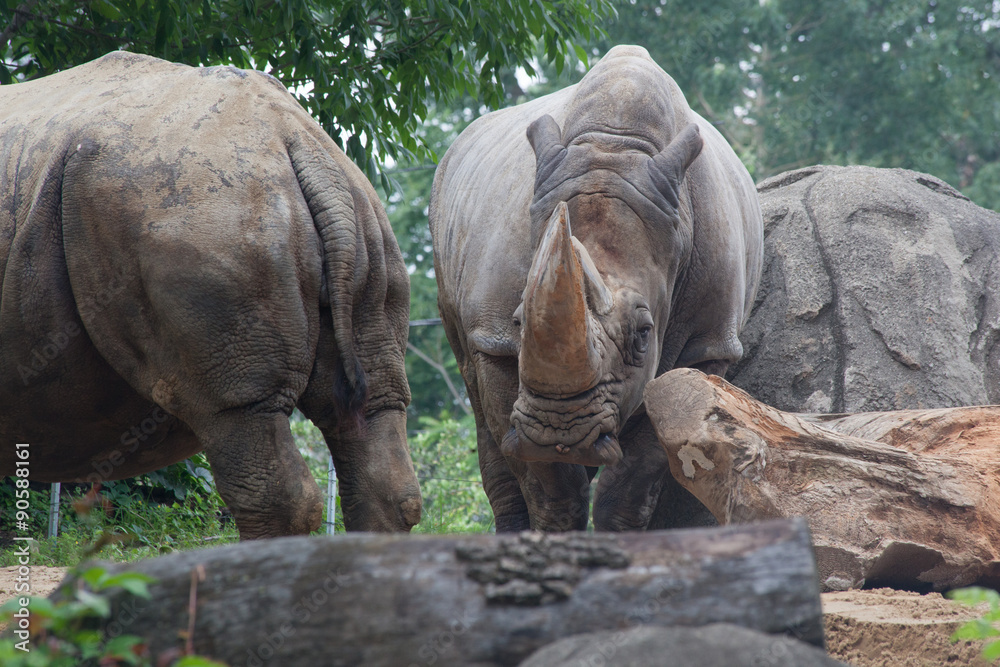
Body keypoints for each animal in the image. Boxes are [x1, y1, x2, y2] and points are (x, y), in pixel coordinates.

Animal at [430, 46, 763, 531]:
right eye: (517, 321)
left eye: (644, 334)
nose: (559, 431)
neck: (614, 146)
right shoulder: (494, 338)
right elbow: (549, 485)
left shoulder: (710, 341)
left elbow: (638, 472)